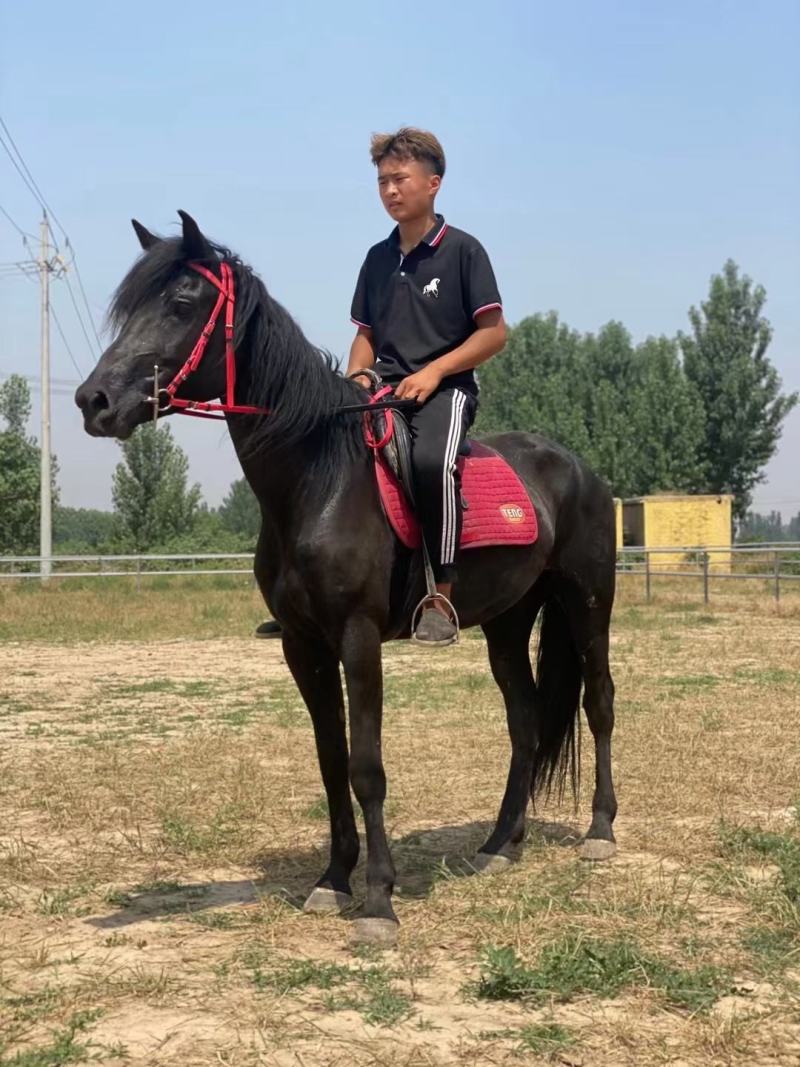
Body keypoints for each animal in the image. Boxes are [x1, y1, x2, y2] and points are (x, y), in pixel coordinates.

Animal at [75, 211, 618, 947]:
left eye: (182, 303)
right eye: (130, 308)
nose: (93, 400)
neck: (318, 479)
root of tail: (577, 468)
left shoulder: (358, 639)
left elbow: (366, 767)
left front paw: (379, 900)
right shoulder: (301, 644)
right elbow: (331, 760)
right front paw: (334, 880)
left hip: (587, 603)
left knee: (599, 702)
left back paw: (600, 831)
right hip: (509, 622)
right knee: (526, 721)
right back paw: (500, 845)